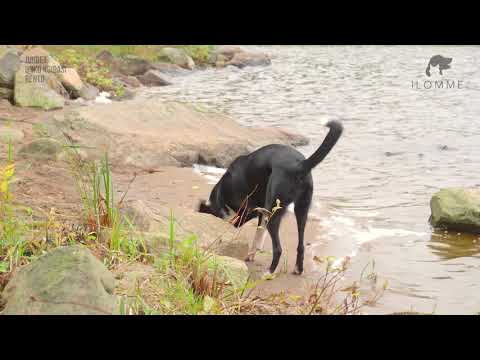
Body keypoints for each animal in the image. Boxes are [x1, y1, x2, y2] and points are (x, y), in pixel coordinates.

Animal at [197, 121, 344, 276]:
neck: (221, 194)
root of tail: (300, 165)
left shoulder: (250, 210)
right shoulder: (260, 211)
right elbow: (259, 233)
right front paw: (251, 254)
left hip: (274, 212)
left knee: (278, 249)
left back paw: (269, 272)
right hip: (301, 209)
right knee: (301, 245)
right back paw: (298, 269)